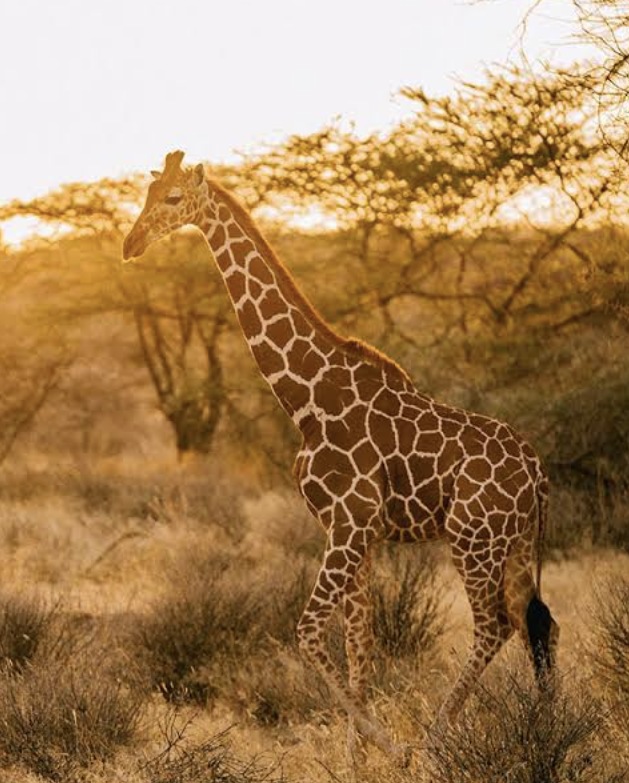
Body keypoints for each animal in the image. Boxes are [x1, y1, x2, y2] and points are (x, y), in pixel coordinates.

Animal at [123, 150, 559, 761]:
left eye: (172, 198)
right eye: (147, 193)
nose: (130, 244)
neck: (307, 395)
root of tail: (537, 473)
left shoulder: (349, 524)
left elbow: (310, 632)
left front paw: (385, 747)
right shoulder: (358, 530)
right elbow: (360, 642)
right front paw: (356, 756)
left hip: (474, 538)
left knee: (494, 625)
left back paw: (435, 739)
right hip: (513, 543)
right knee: (536, 622)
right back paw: (547, 728)